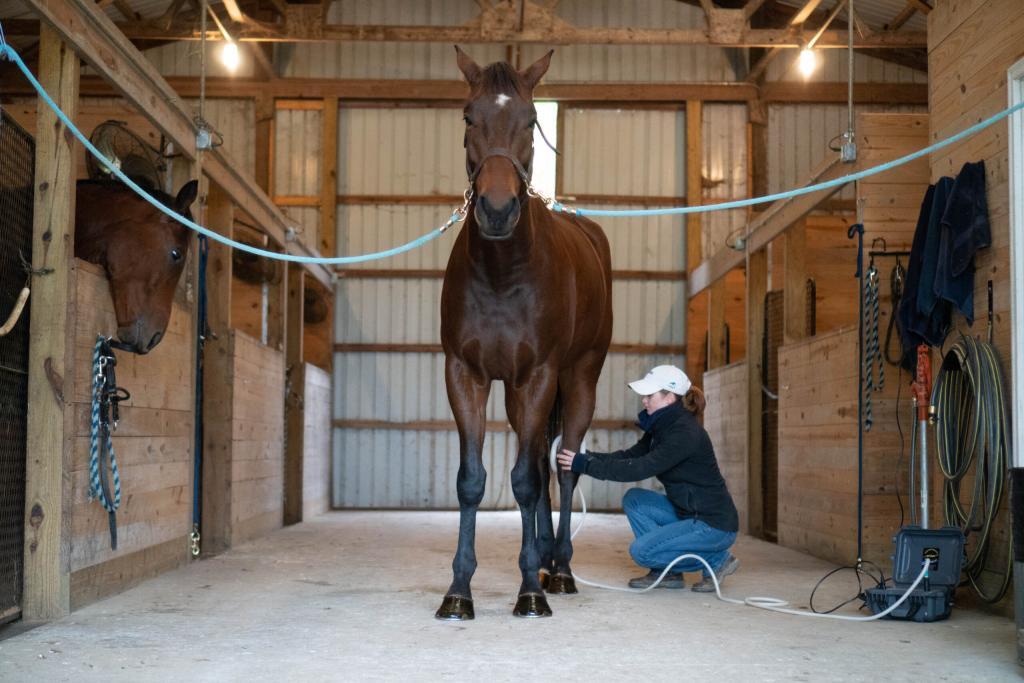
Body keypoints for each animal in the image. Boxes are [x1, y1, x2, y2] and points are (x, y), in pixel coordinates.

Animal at [436, 47, 613, 620]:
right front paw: (459, 591)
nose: (496, 210)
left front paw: (530, 592)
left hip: (578, 380)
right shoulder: (466, 376)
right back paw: (542, 560)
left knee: (562, 467)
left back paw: (559, 571)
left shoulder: (539, 376)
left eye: (531, 119)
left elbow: (528, 481)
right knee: (537, 465)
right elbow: (474, 481)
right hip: (518, 394)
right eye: (468, 117)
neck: (502, 273)